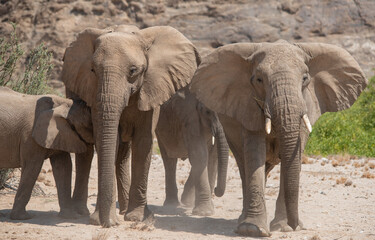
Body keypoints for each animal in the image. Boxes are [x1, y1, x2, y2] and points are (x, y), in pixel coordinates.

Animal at [0, 87, 93, 220]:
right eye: (90, 125)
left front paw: (69, 216)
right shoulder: (30, 138)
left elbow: (64, 167)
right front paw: (23, 217)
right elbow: (33, 167)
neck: (64, 102)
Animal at [61, 24, 201, 227]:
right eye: (93, 70)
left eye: (133, 70)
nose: (108, 223)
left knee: (122, 153)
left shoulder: (152, 89)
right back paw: (85, 212)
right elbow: (108, 141)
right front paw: (102, 219)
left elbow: (143, 142)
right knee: (89, 151)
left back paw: (124, 209)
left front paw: (137, 217)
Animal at [192, 40, 368, 236]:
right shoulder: (248, 107)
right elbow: (255, 154)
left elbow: (293, 157)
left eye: (305, 78)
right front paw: (252, 229)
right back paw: (243, 219)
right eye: (259, 80)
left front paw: (283, 227)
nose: (296, 225)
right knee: (244, 164)